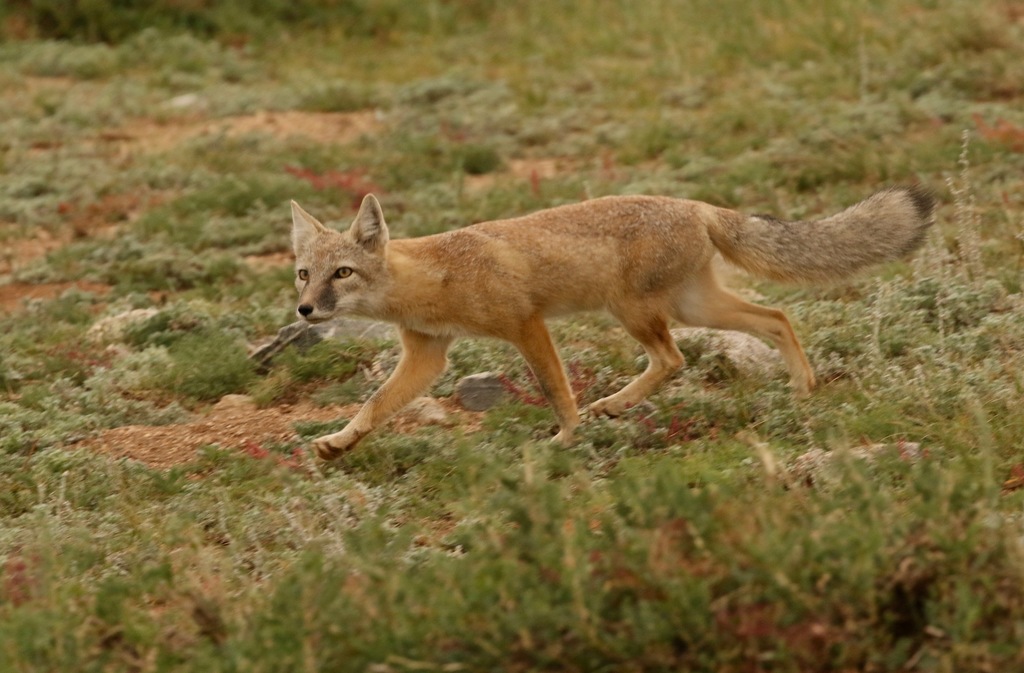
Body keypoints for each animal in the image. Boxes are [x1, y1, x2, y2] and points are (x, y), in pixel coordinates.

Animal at [290, 188, 937, 463]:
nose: (305, 311)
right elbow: (374, 405)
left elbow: (556, 389)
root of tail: (696, 205)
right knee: (776, 317)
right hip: (690, 309)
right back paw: (802, 389)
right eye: (304, 274)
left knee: (676, 358)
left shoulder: (526, 325)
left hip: (635, 312)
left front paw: (566, 439)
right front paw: (339, 442)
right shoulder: (427, 356)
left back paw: (614, 406)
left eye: (342, 273)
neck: (433, 278)